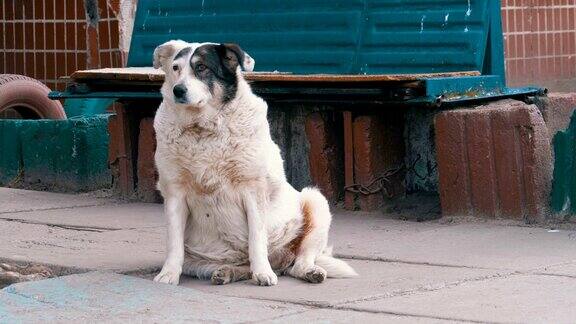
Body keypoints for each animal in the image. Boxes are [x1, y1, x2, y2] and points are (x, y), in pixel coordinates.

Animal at [150, 39, 356, 286]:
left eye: (201, 68)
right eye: (175, 68)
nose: (178, 90)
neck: (203, 130)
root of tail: (281, 261)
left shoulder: (253, 191)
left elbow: (256, 239)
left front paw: (263, 273)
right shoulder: (175, 194)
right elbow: (174, 243)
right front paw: (169, 273)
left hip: (315, 201)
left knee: (299, 262)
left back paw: (307, 271)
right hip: (198, 260)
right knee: (243, 267)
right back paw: (227, 272)